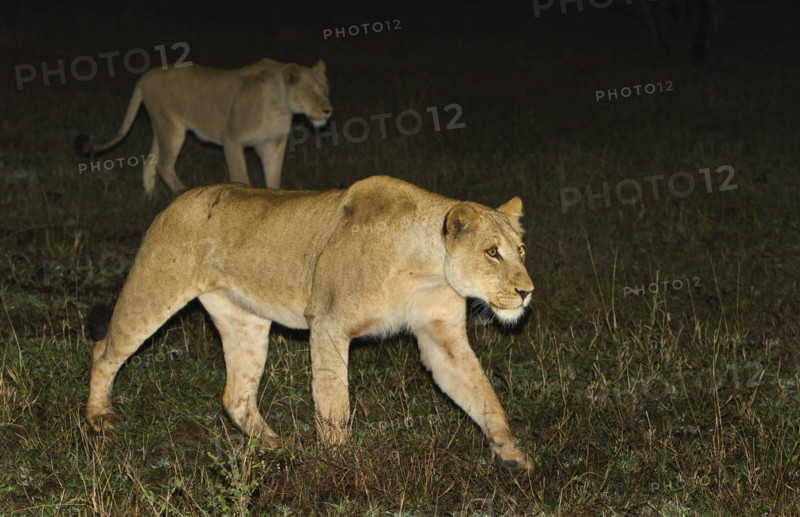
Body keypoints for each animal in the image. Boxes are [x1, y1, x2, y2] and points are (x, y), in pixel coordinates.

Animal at [76, 58, 331, 194]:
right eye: (311, 91)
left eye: (326, 89)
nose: (328, 110)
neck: (281, 107)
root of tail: (147, 75)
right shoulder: (232, 140)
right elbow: (241, 175)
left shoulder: (273, 145)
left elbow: (274, 179)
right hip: (173, 128)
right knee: (164, 166)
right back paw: (181, 193)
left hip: (162, 126)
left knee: (150, 161)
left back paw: (150, 197)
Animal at [86, 175, 534, 473]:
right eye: (492, 252)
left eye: (521, 250)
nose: (527, 292)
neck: (426, 268)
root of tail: (177, 201)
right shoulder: (328, 323)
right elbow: (334, 402)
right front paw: (340, 467)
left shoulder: (441, 337)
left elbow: (482, 395)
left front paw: (512, 455)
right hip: (152, 293)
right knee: (103, 350)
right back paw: (99, 417)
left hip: (245, 321)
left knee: (236, 396)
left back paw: (274, 447)